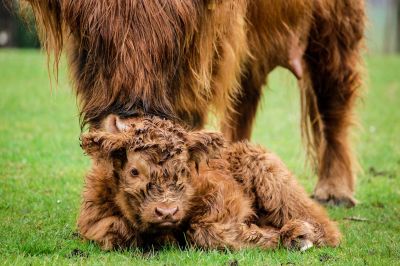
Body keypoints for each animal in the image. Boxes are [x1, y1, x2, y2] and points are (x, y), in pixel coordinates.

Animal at [19, 0, 366, 206]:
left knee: (334, 95)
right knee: (244, 100)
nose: (133, 124)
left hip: (335, 25)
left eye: (175, 42)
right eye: (91, 41)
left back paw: (334, 191)